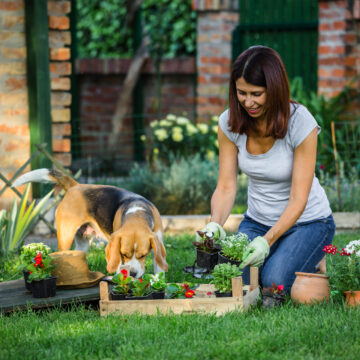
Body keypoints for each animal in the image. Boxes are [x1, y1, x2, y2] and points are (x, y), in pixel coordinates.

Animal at [12, 169, 167, 278]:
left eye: (143, 255)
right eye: (123, 254)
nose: (133, 274)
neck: (137, 211)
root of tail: (75, 186)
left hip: (82, 244)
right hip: (65, 238)